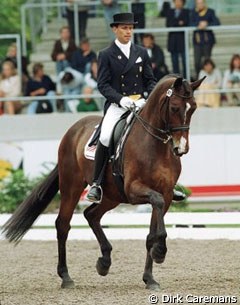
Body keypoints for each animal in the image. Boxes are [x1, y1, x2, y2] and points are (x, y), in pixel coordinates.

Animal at [2, 74, 204, 290]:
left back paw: (104, 262)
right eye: (174, 107)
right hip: (71, 187)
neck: (156, 146)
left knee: (91, 215)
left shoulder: (165, 194)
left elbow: (151, 233)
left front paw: (150, 277)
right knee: (63, 225)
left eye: (193, 107)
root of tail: (74, 129)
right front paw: (160, 252)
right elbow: (155, 203)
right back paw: (66, 277)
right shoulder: (134, 190)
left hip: (111, 196)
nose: (181, 148)